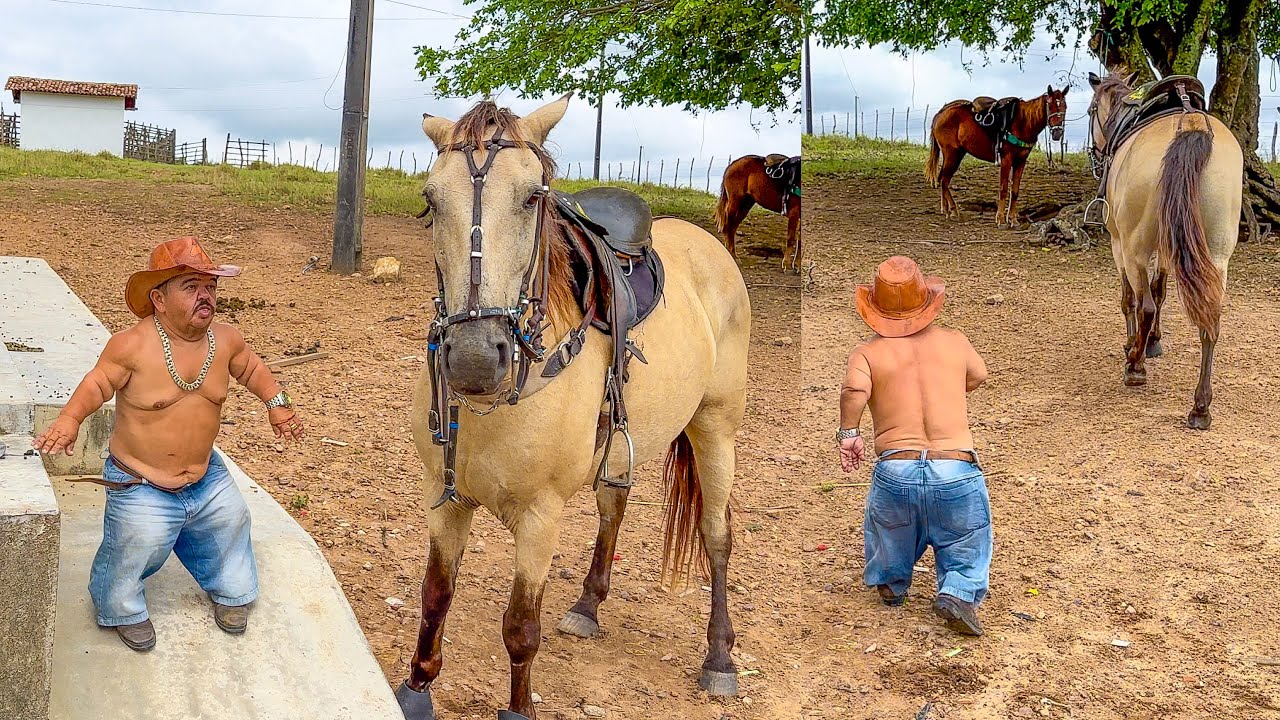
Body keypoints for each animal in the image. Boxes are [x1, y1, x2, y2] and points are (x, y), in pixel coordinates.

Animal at [394, 94, 752, 720]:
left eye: (532, 197)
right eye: (431, 200)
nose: (474, 359)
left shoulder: (541, 517)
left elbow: (520, 628)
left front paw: (517, 709)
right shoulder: (445, 496)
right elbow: (435, 595)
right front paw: (416, 690)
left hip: (716, 427)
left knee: (716, 534)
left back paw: (719, 658)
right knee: (614, 507)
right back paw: (588, 605)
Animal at [925, 85, 1069, 227]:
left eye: (1065, 107)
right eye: (1049, 105)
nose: (1057, 133)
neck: (1023, 122)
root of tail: (940, 114)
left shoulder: (1021, 161)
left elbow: (1015, 190)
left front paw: (1013, 219)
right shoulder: (1006, 159)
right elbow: (1003, 188)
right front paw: (1001, 219)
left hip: (957, 154)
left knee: (943, 179)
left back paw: (947, 210)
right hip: (952, 154)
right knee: (944, 181)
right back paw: (953, 211)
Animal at [1086, 70, 1243, 429]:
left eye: (1089, 111)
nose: (1095, 154)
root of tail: (1191, 126)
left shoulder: (1121, 245)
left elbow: (1132, 300)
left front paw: (1135, 346)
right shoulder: (1170, 249)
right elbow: (1160, 292)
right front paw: (1154, 343)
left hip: (1135, 248)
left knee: (1143, 306)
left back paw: (1134, 366)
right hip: (1216, 254)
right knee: (1210, 319)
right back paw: (1201, 407)